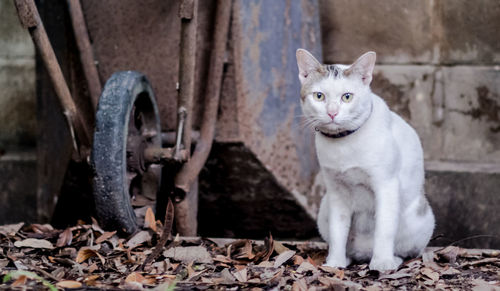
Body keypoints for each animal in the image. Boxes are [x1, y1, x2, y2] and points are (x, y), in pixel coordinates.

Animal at [296, 49, 434, 272]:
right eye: (319, 96)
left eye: (347, 97)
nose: (332, 112)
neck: (343, 144)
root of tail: (363, 252)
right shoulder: (337, 191)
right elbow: (338, 230)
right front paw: (334, 262)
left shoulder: (386, 185)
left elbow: (384, 228)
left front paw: (382, 263)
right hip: (324, 208)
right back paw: (347, 258)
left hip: (420, 218)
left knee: (407, 251)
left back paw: (392, 259)